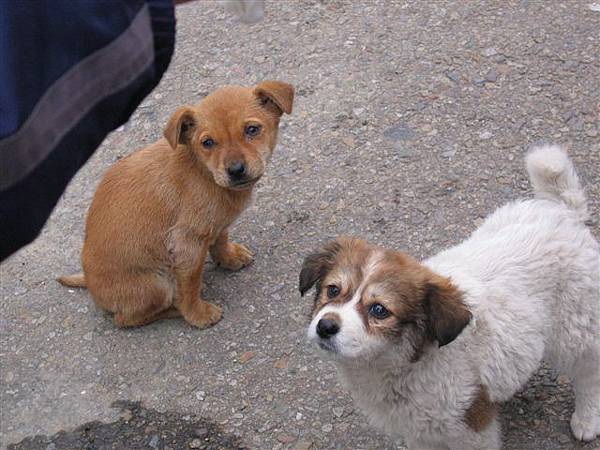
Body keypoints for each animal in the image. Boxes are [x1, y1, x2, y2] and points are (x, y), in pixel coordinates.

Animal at [59, 80, 294, 326]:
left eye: (252, 130)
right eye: (207, 143)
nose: (236, 170)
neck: (203, 172)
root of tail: (89, 284)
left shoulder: (215, 224)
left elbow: (220, 240)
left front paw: (229, 257)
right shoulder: (187, 246)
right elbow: (190, 286)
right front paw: (197, 314)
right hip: (156, 286)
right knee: (126, 319)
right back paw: (174, 309)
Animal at [300, 145, 600, 450]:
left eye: (379, 310)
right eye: (333, 290)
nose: (325, 326)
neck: (406, 362)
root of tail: (562, 210)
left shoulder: (473, 427)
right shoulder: (421, 432)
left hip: (575, 328)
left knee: (588, 371)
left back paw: (586, 419)